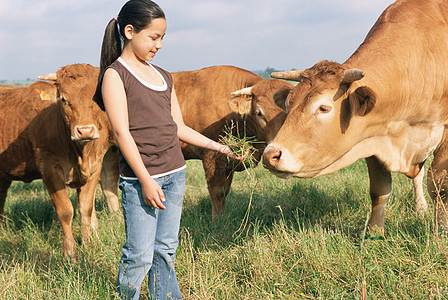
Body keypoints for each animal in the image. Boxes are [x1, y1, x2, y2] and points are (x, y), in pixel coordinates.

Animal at [0, 63, 111, 255]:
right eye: (64, 99)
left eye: (97, 98)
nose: (85, 131)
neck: (81, 154)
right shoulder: (50, 168)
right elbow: (65, 210)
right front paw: (70, 253)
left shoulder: (95, 168)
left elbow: (86, 208)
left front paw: (88, 245)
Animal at [262, 0, 444, 233]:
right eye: (287, 104)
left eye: (323, 108)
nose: (270, 155)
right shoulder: (372, 137)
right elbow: (379, 190)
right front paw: (374, 233)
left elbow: (439, 184)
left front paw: (441, 230)